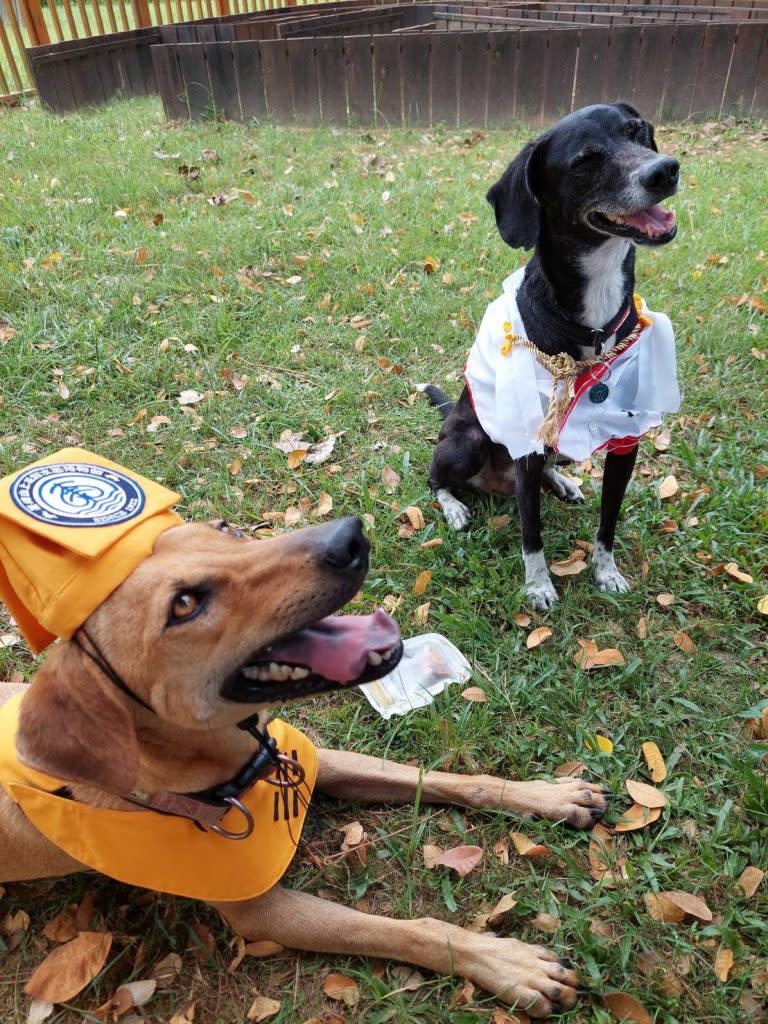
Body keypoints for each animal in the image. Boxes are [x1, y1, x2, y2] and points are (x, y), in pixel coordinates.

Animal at [1, 520, 606, 1015]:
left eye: (223, 529)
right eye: (185, 604)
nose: (350, 535)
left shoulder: (315, 759)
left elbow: (450, 779)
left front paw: (546, 797)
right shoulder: (263, 914)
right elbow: (408, 931)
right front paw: (507, 965)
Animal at [423, 105, 684, 606]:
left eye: (638, 132)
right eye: (584, 160)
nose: (665, 170)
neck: (592, 317)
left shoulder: (625, 443)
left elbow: (608, 523)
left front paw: (606, 572)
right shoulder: (526, 442)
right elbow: (532, 532)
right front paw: (539, 585)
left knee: (545, 472)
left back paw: (562, 482)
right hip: (467, 441)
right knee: (436, 480)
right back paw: (454, 507)